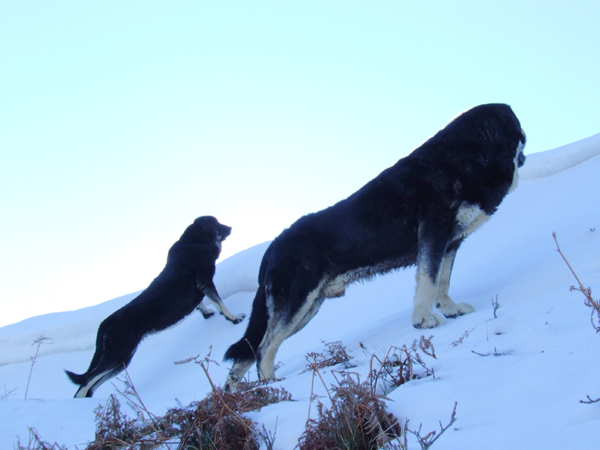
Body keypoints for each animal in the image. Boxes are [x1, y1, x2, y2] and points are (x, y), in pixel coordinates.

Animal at [65, 217, 244, 398]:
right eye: (216, 223)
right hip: (118, 354)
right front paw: (234, 318)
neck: (195, 240)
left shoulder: (199, 288)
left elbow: (201, 304)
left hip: (122, 360)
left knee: (94, 383)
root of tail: (107, 321)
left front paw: (207, 313)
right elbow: (219, 302)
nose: (230, 227)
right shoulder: (205, 281)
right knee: (87, 380)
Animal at [224, 103, 524, 390]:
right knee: (264, 349)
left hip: (306, 308)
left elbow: (443, 280)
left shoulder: (451, 243)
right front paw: (423, 319)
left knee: (246, 354)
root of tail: (271, 248)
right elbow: (428, 281)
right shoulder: (433, 233)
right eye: (521, 135)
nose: (523, 155)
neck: (461, 156)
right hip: (297, 301)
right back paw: (271, 384)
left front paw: (450, 309)